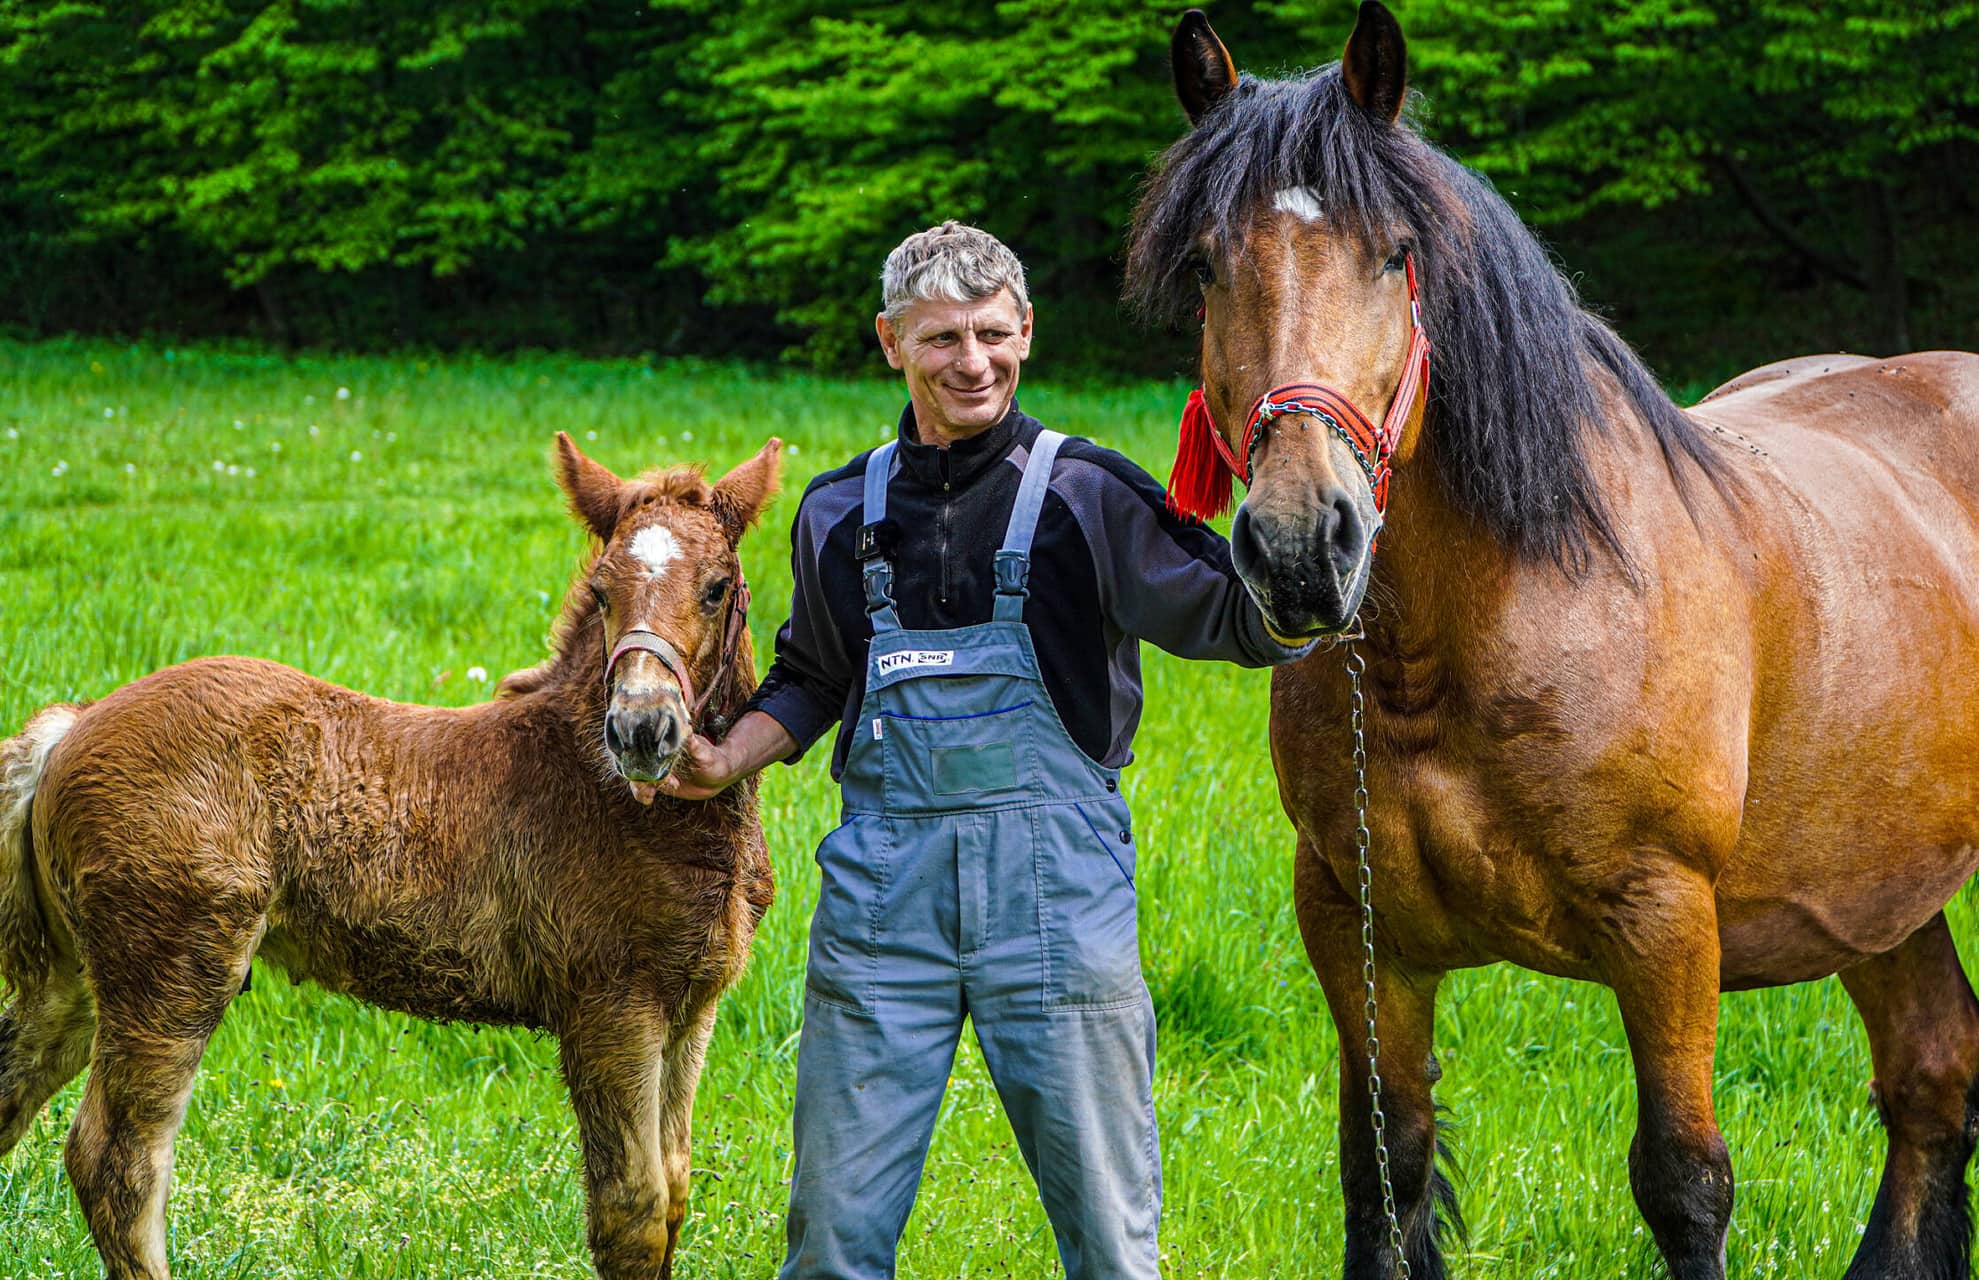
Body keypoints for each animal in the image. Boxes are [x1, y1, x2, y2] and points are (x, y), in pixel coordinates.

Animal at [0, 435, 783, 1274]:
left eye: (717, 588)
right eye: (603, 592)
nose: (641, 730)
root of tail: (69, 729)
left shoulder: (690, 1010)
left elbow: (673, 1194)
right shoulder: (611, 1007)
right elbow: (631, 1213)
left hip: (78, 977)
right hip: (172, 971)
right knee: (115, 1160)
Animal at [1131, 7, 1979, 1280]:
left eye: (1394, 253)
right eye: (1202, 267)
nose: (1297, 545)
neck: (1470, 639)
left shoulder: (1664, 922)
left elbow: (1682, 1180)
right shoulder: (1350, 918)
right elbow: (1382, 1168)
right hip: (1881, 885)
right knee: (1932, 1077)